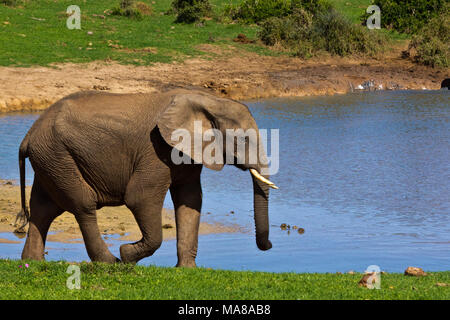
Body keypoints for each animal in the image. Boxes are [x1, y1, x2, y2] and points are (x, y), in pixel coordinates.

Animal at [15, 89, 276, 266]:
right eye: (244, 139)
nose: (270, 245)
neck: (207, 100)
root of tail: (28, 136)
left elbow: (190, 200)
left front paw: (187, 269)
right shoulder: (156, 150)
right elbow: (139, 197)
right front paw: (127, 254)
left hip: (52, 159)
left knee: (43, 209)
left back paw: (32, 262)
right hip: (57, 156)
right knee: (83, 204)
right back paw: (111, 262)